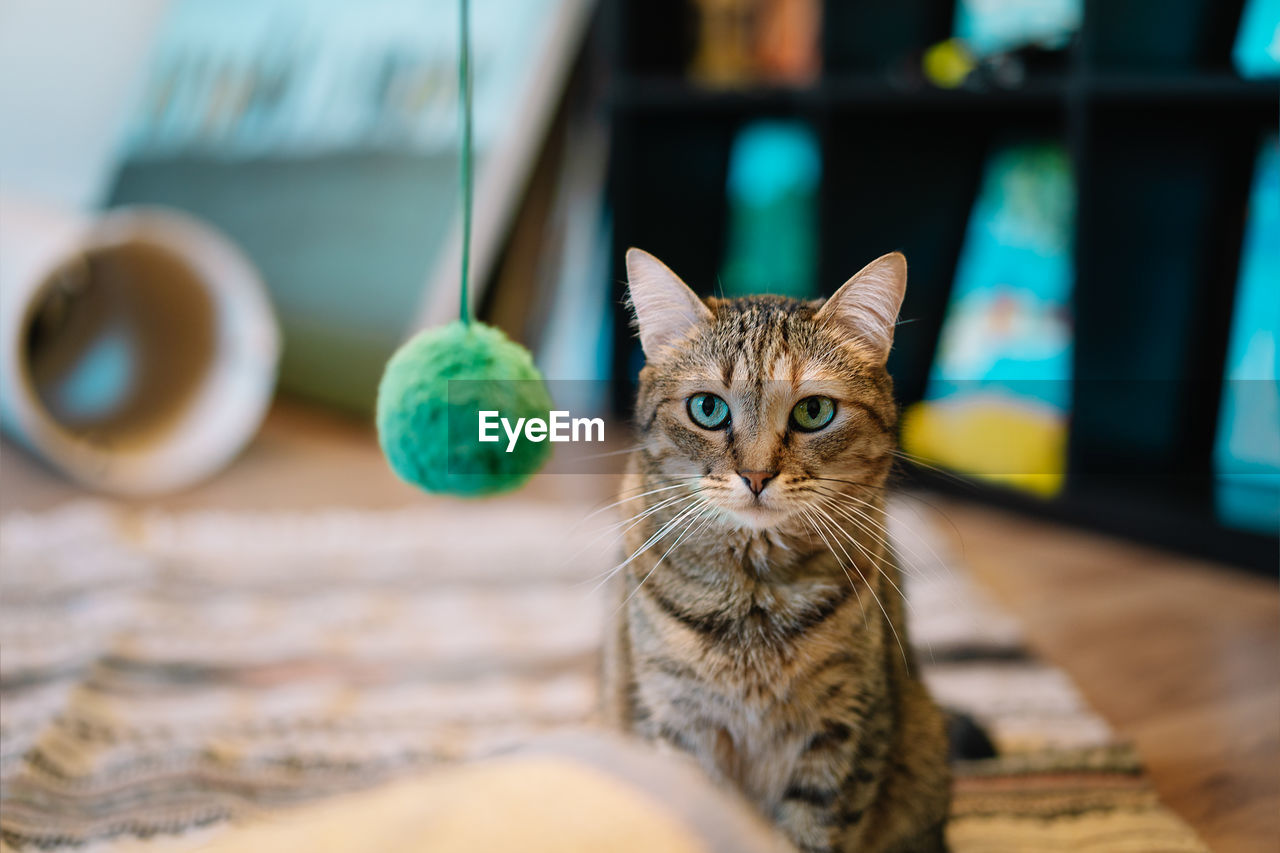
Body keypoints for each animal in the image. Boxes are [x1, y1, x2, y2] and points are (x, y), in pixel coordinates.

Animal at [601, 247, 952, 850]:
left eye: (814, 412)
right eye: (708, 409)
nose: (757, 475)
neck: (754, 600)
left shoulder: (843, 727)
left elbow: (813, 830)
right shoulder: (674, 720)